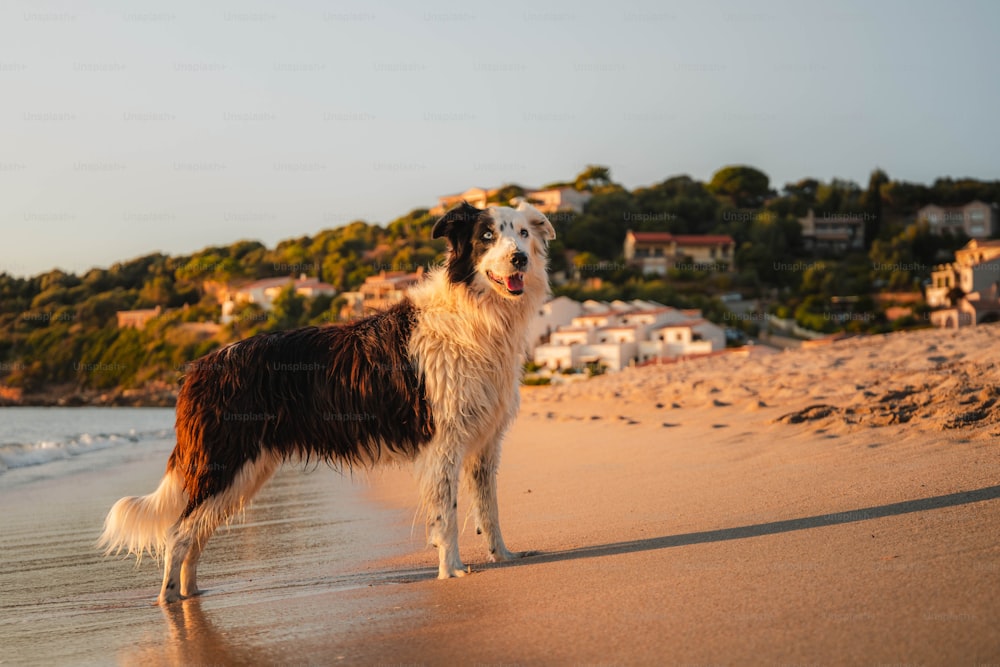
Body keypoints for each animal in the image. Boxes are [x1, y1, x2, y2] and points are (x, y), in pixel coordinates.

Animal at [98, 200, 556, 604]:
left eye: (524, 233)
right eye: (486, 236)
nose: (519, 260)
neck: (474, 312)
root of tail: (200, 367)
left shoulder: (485, 443)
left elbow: (489, 510)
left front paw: (504, 556)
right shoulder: (442, 444)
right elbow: (447, 516)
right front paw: (453, 571)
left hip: (245, 471)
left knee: (195, 535)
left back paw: (192, 595)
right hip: (224, 463)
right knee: (178, 533)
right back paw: (168, 599)